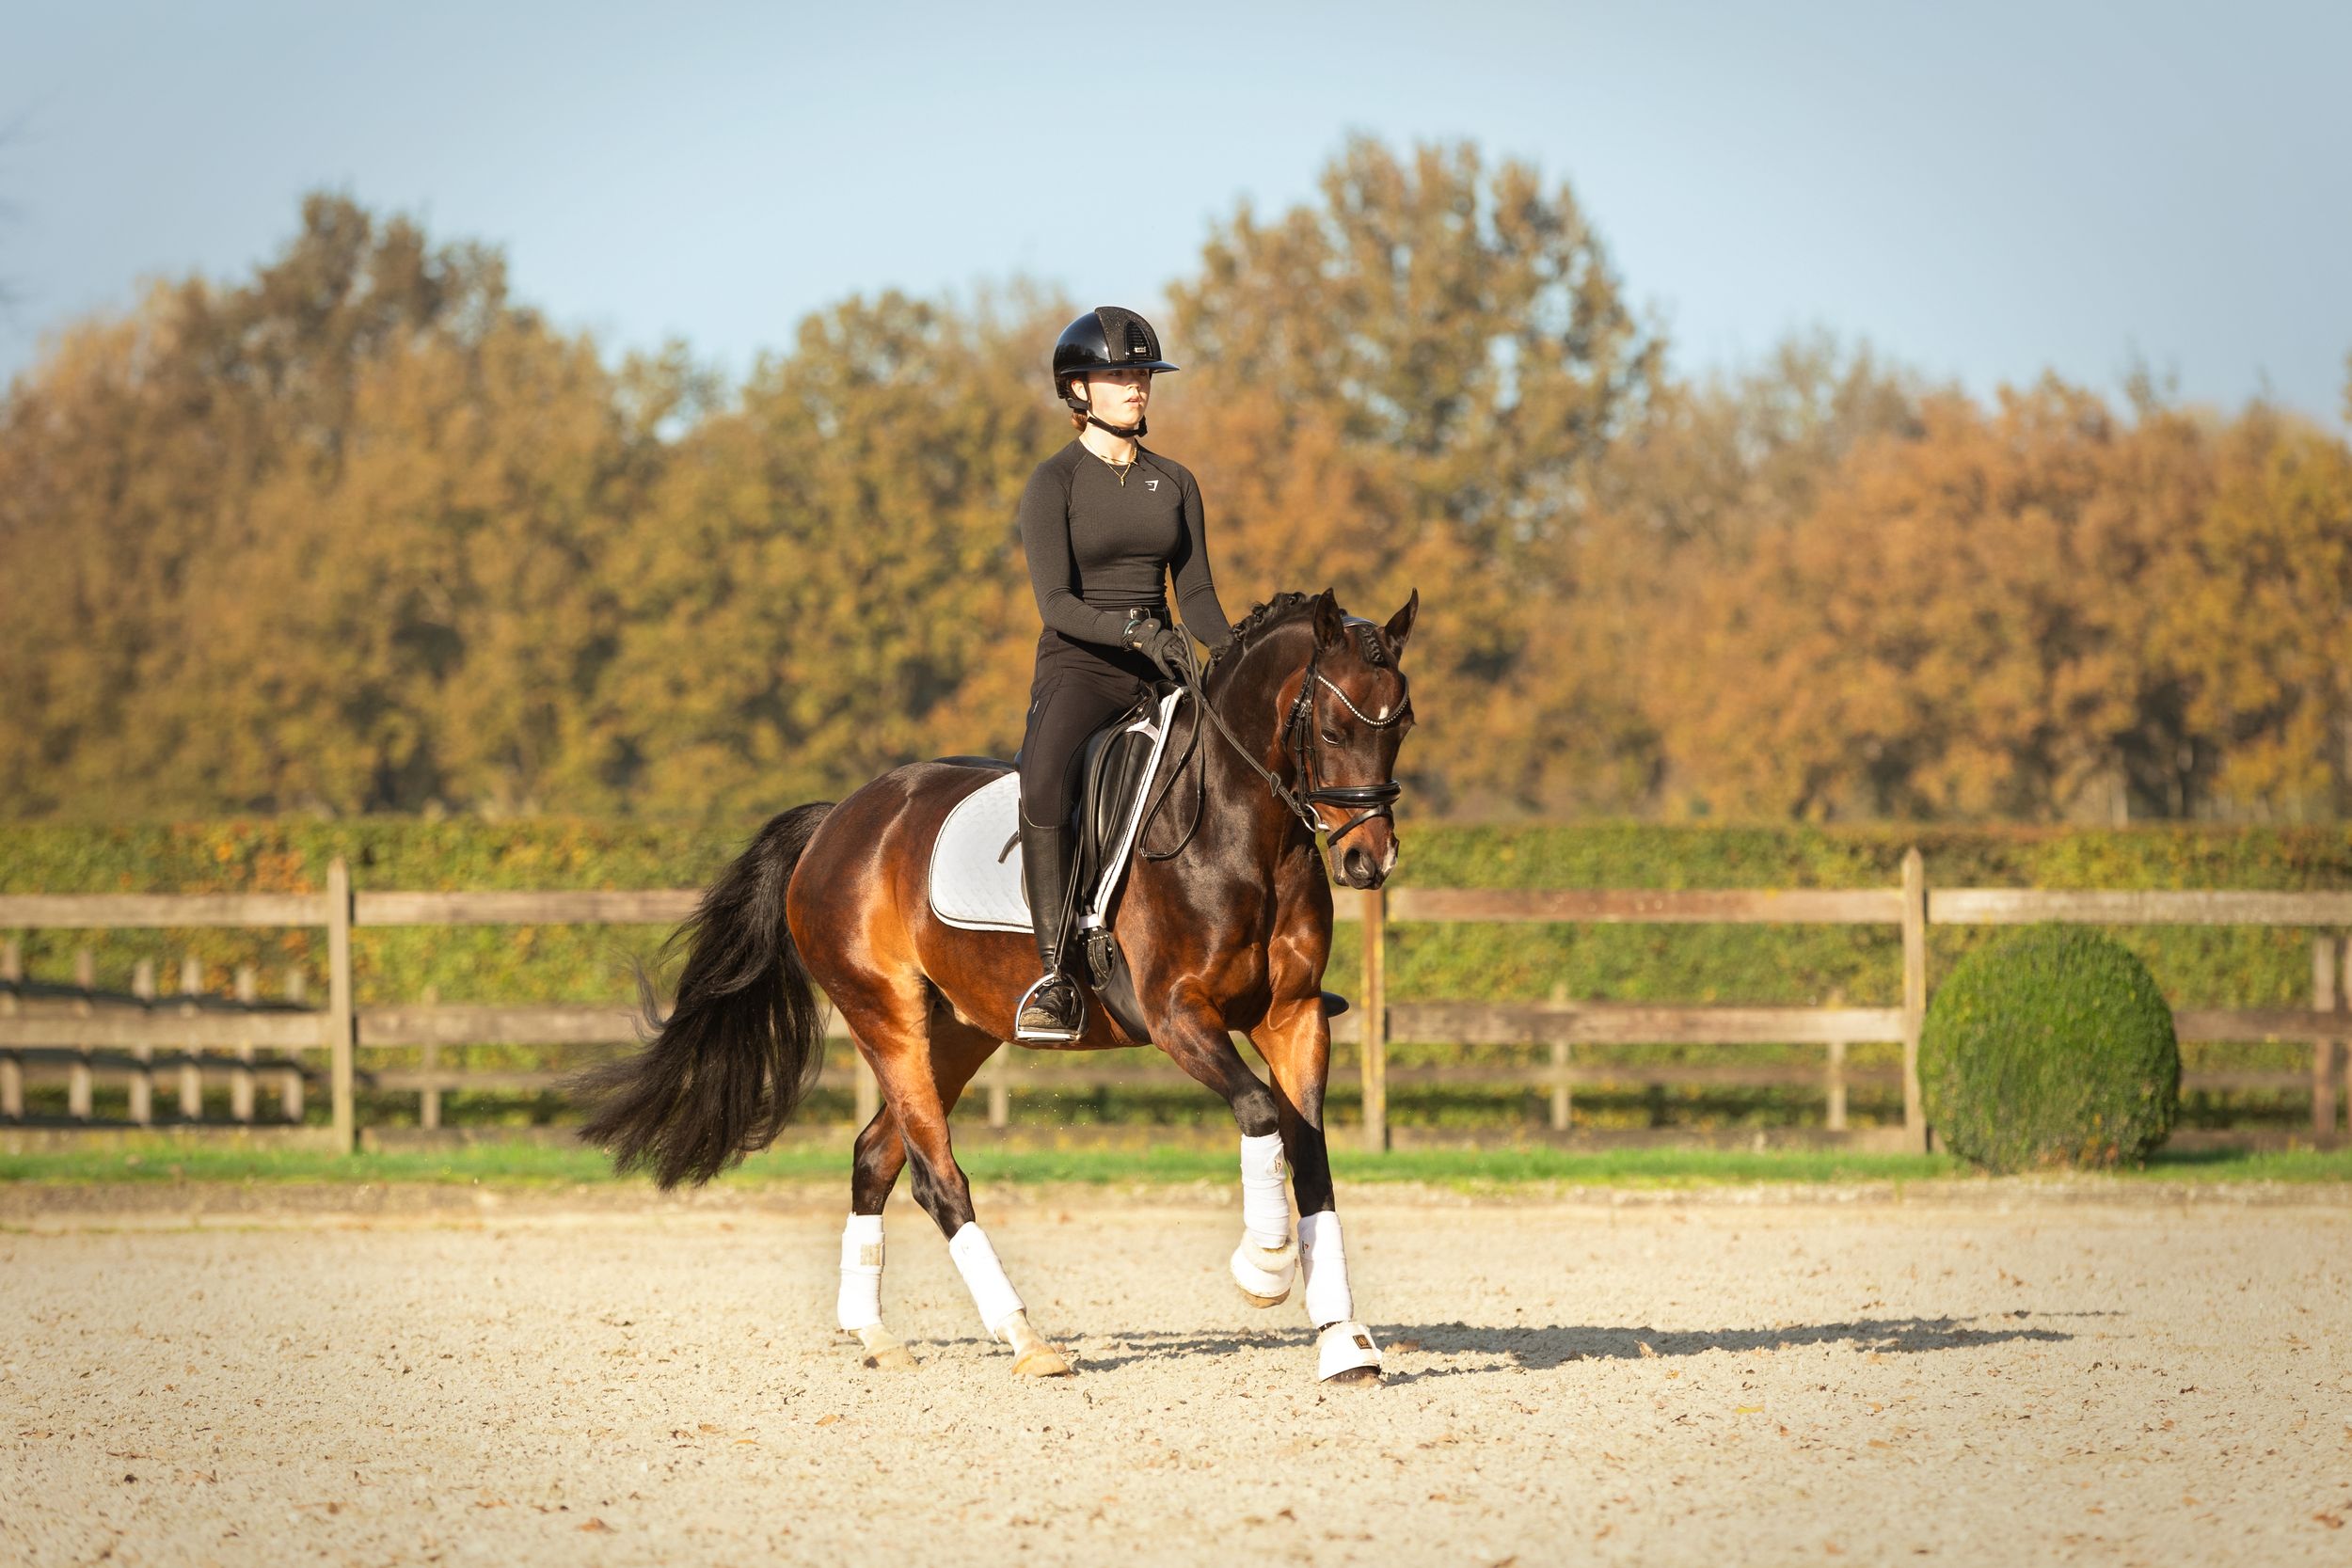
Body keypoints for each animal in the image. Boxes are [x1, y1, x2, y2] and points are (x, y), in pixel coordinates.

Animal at [579, 586, 1419, 1384]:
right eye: (1335, 731)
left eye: (1401, 724)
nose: (1368, 861)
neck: (1242, 831)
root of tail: (838, 820)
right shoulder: (1177, 1013)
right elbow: (1257, 1111)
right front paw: (1262, 1268)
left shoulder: (1295, 1016)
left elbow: (1310, 1156)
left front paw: (1344, 1342)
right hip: (885, 1016)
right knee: (935, 1176)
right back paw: (1026, 1339)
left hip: (958, 1030)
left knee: (876, 1154)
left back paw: (875, 1335)